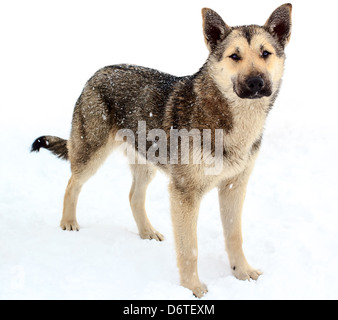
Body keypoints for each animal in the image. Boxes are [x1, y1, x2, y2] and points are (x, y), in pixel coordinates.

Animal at [30, 3, 292, 298]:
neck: (232, 122)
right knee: (72, 184)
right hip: (92, 156)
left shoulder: (234, 186)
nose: (256, 82)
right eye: (234, 56)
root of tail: (98, 72)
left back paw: (147, 232)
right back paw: (68, 223)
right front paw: (193, 288)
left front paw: (242, 273)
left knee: (133, 196)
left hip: (147, 164)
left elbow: (235, 236)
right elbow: (189, 249)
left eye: (265, 53)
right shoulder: (184, 193)